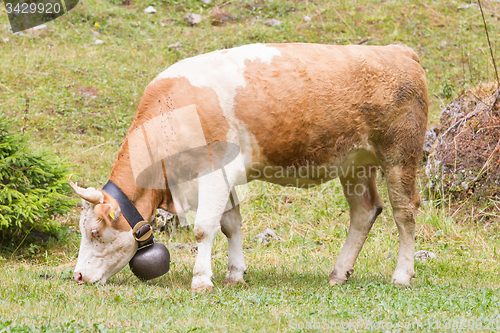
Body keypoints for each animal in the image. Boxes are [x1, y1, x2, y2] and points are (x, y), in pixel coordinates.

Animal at [69, 42, 430, 290]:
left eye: (95, 232)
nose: (78, 275)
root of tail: (398, 51)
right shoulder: (224, 176)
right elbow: (231, 224)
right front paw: (234, 273)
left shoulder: (212, 172)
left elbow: (204, 227)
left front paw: (201, 279)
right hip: (354, 163)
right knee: (364, 211)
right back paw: (339, 273)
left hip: (400, 155)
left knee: (404, 211)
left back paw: (402, 274)